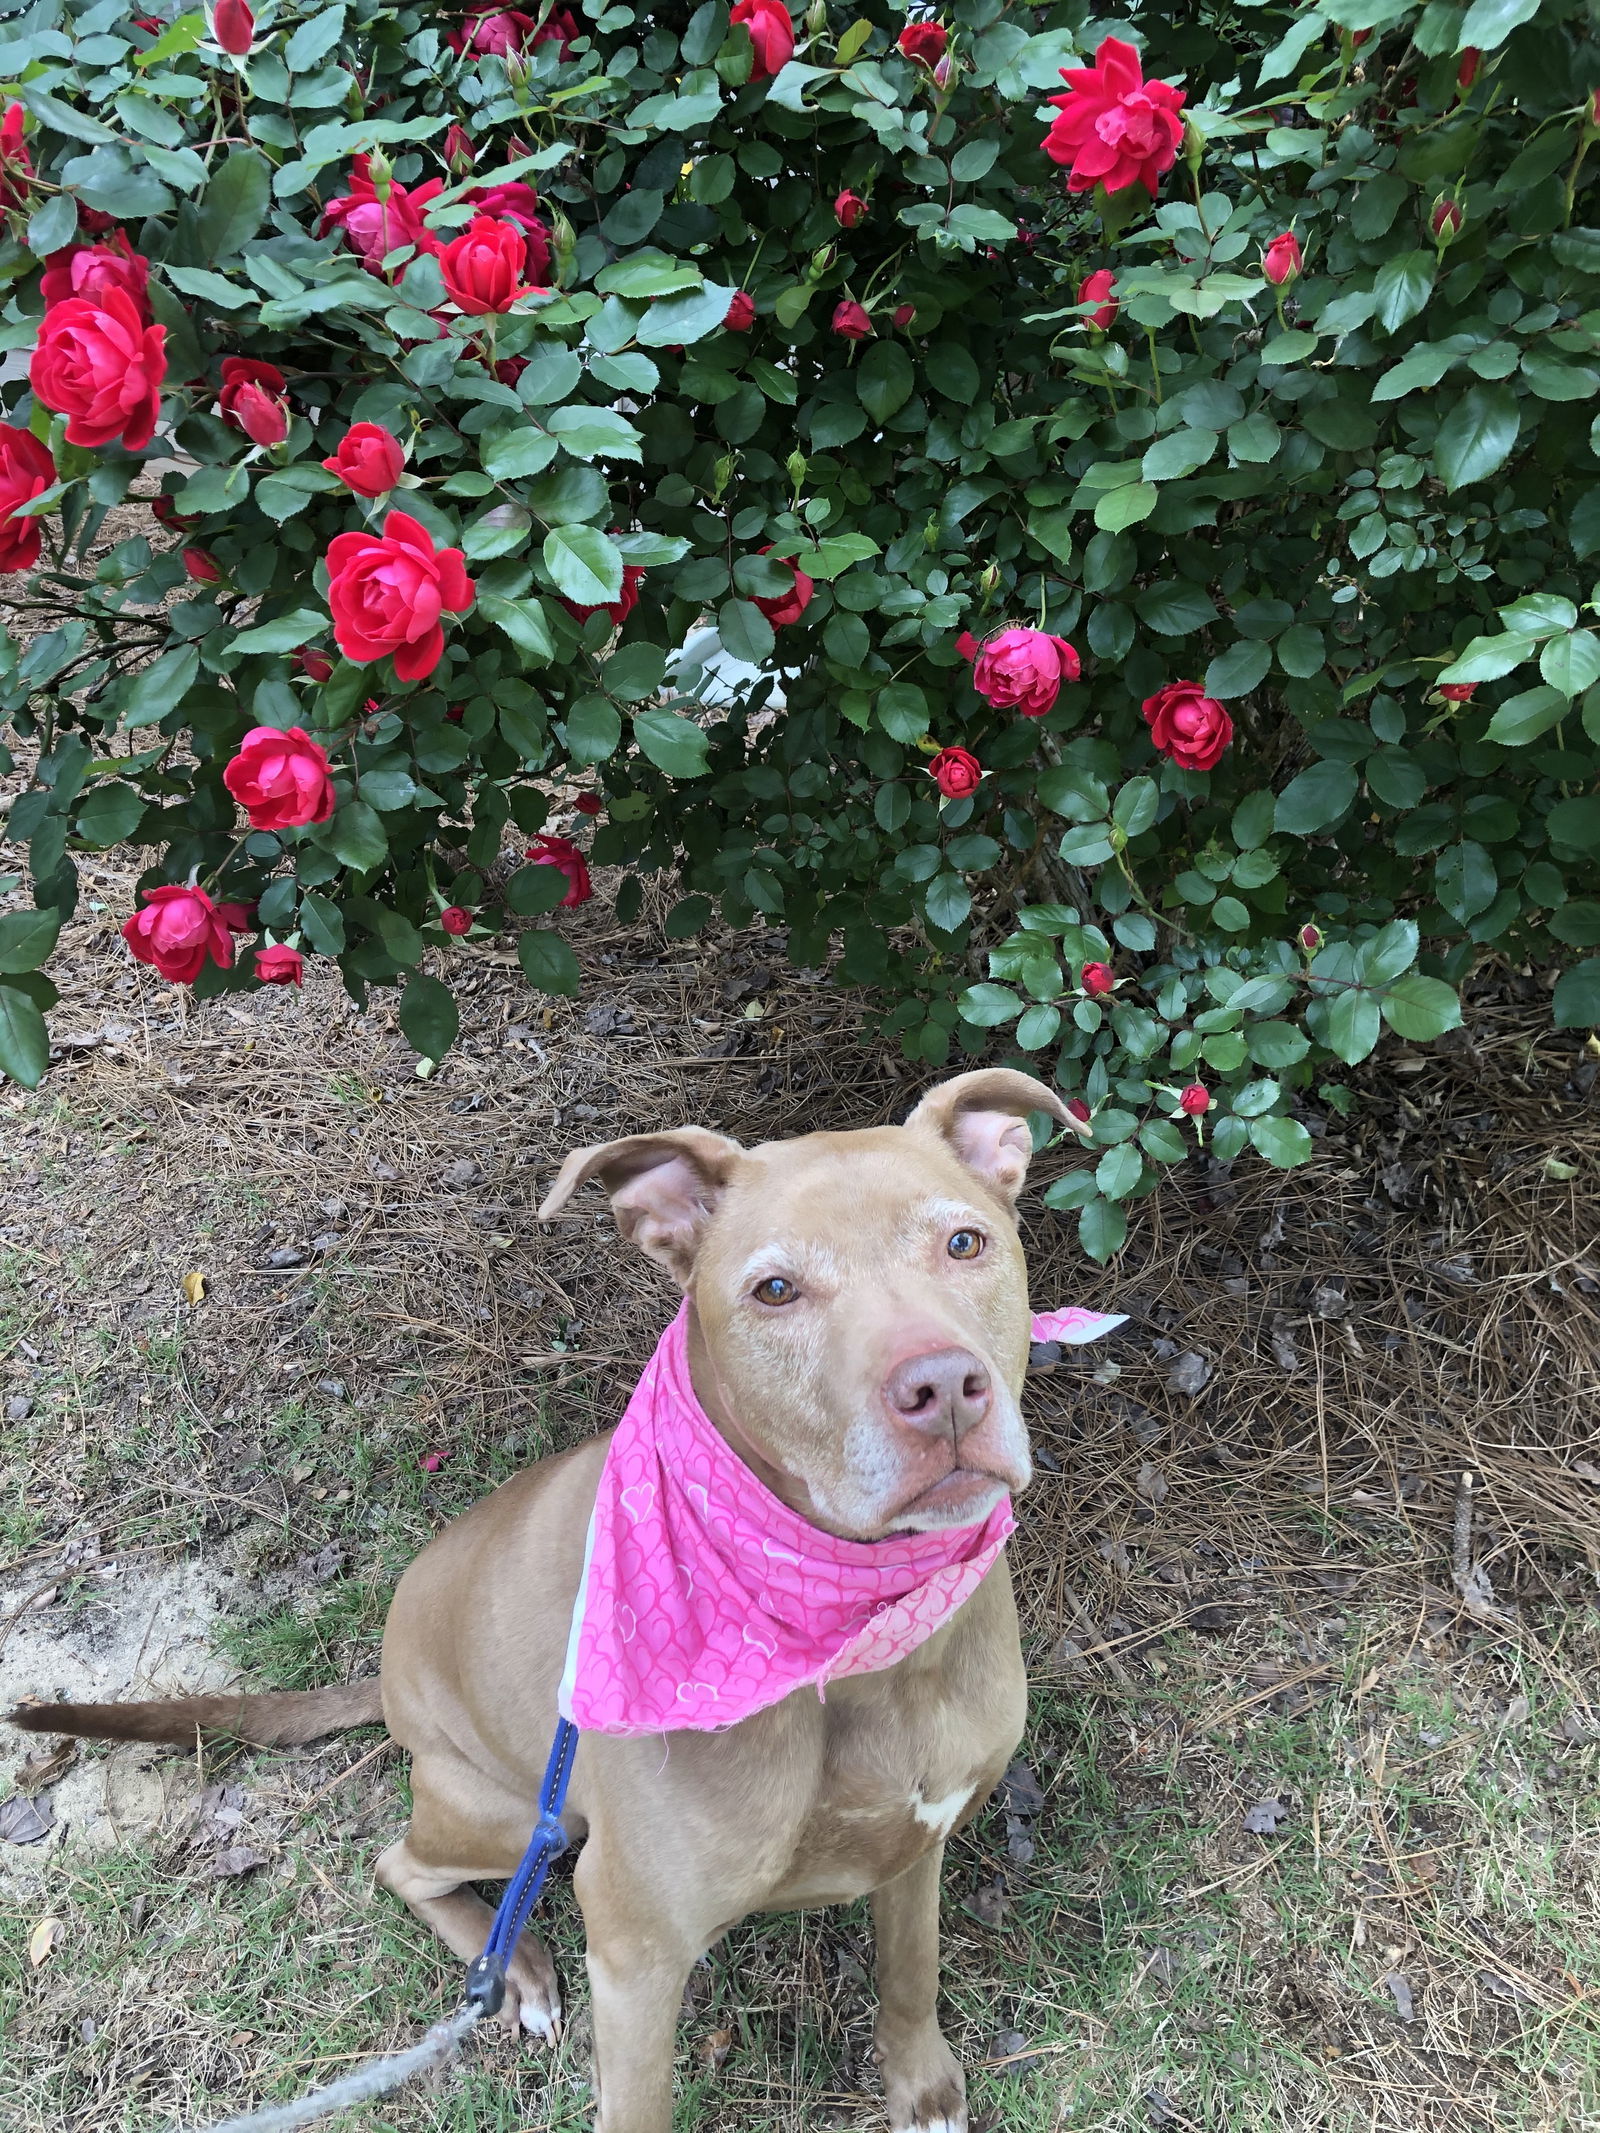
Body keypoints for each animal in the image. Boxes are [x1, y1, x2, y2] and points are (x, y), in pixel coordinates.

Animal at [12, 1075, 1083, 2133]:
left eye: (964, 1242)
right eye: (775, 1290)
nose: (943, 1386)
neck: (866, 1638)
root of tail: (386, 1670)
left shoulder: (919, 1836)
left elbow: (912, 1969)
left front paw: (920, 2083)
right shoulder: (636, 1948)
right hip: (520, 1813)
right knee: (403, 1864)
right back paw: (514, 1965)